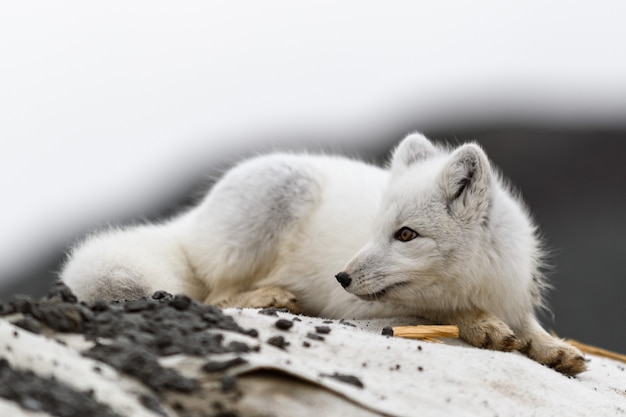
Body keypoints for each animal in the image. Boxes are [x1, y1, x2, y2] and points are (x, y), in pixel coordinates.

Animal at [61, 133, 584, 374]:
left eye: (406, 235)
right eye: (374, 232)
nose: (342, 278)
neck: (479, 279)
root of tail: (189, 221)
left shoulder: (513, 294)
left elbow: (530, 326)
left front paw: (554, 348)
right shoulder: (368, 307)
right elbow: (445, 311)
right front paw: (481, 325)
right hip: (274, 205)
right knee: (214, 294)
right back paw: (269, 296)